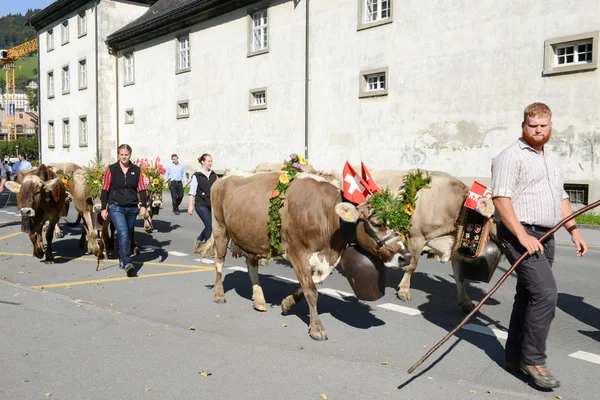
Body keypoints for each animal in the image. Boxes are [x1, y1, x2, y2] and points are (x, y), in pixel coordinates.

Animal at [197, 170, 412, 340]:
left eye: (402, 223)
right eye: (376, 223)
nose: (406, 257)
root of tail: (225, 176)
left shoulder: (323, 259)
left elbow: (308, 285)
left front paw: (286, 304)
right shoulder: (297, 251)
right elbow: (311, 290)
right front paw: (317, 329)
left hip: (251, 236)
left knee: (251, 264)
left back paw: (259, 300)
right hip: (220, 227)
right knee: (219, 261)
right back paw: (219, 294)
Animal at [370, 169, 502, 312]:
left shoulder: (454, 246)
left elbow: (459, 276)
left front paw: (466, 302)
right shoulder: (416, 238)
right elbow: (411, 266)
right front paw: (404, 291)